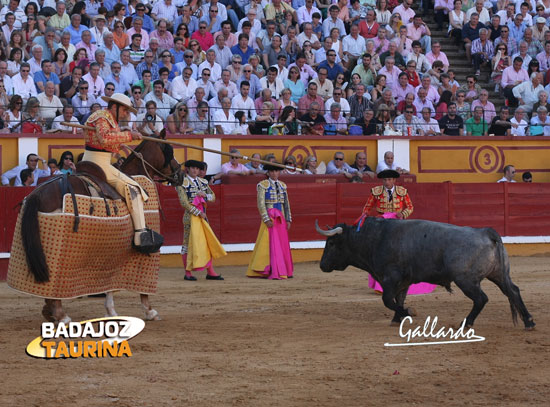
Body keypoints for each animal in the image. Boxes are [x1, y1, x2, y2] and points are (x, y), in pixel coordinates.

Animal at [8, 140, 182, 326]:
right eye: (170, 151)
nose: (181, 173)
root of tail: (38, 194)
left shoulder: (112, 254)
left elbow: (110, 283)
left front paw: (111, 311)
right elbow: (141, 286)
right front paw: (150, 311)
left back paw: (51, 312)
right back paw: (62, 315)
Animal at [316, 218, 536, 330]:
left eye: (332, 243)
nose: (322, 265)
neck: (374, 238)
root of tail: (486, 232)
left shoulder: (390, 277)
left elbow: (388, 299)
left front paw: (408, 313)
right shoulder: (403, 281)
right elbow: (398, 298)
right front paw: (397, 318)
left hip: (466, 280)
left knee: (481, 299)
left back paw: (466, 323)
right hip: (498, 275)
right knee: (513, 291)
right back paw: (529, 321)